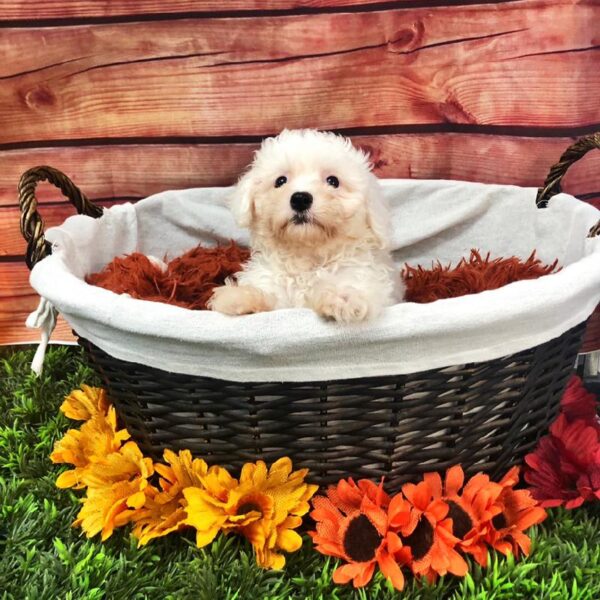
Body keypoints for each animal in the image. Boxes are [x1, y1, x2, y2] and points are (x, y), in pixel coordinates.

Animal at [207, 129, 404, 322]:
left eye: (333, 181)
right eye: (280, 181)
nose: (300, 199)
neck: (306, 258)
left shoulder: (361, 274)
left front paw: (343, 298)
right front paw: (242, 297)